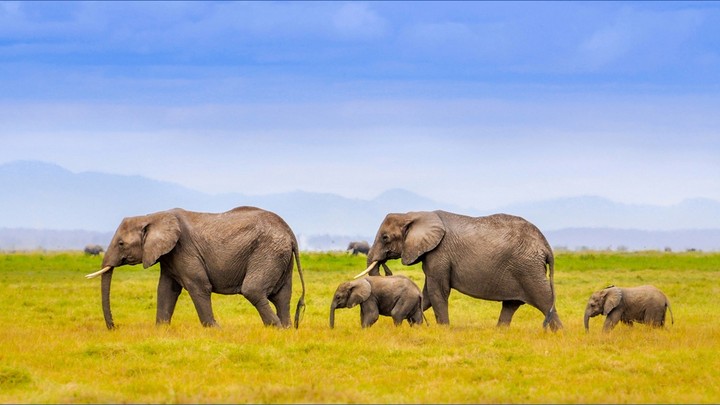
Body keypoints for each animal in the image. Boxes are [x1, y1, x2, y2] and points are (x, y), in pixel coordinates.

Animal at [85, 206, 306, 330]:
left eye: (121, 244)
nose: (114, 327)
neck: (153, 216)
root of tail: (290, 233)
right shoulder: (170, 256)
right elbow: (166, 290)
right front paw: (161, 330)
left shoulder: (184, 249)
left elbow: (198, 286)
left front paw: (215, 330)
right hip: (280, 257)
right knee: (282, 296)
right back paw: (286, 329)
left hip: (267, 252)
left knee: (253, 290)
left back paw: (276, 328)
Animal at [355, 210, 562, 331]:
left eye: (385, 237)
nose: (385, 268)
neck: (413, 214)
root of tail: (545, 246)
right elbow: (427, 294)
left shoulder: (439, 254)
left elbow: (437, 291)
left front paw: (443, 329)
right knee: (511, 305)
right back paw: (500, 332)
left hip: (528, 269)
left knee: (544, 300)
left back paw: (559, 333)